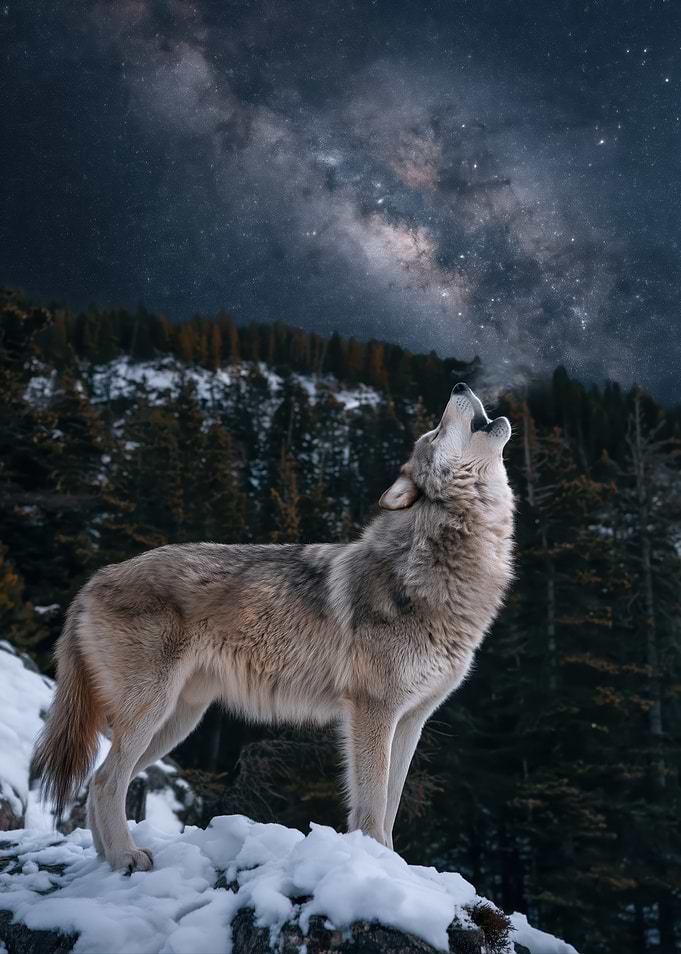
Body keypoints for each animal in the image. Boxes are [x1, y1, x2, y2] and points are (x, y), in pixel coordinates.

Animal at [32, 382, 514, 872]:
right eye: (434, 433)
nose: (459, 386)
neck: (436, 564)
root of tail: (94, 580)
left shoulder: (411, 719)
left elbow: (391, 804)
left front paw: (393, 865)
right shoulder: (372, 710)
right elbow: (372, 805)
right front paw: (374, 862)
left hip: (177, 721)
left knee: (99, 779)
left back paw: (108, 859)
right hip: (153, 711)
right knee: (107, 779)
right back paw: (126, 857)